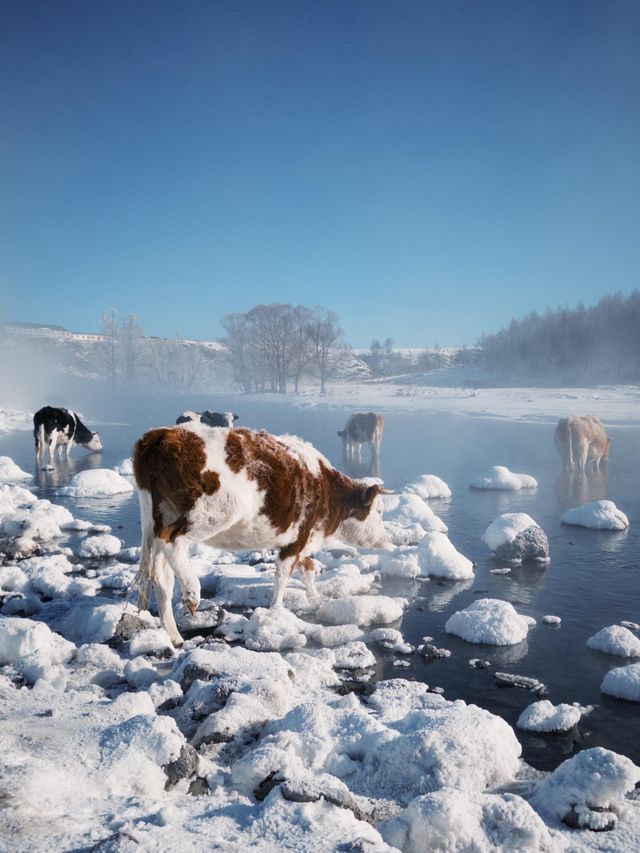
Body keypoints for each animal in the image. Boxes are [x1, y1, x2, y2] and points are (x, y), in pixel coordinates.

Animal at [132, 422, 388, 644]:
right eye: (379, 511)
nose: (385, 541)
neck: (327, 490)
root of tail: (161, 434)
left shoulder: (299, 540)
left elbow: (308, 569)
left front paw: (315, 596)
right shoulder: (297, 539)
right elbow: (282, 577)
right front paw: (276, 611)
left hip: (160, 514)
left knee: (162, 575)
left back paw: (173, 635)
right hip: (211, 512)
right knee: (171, 540)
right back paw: (192, 591)